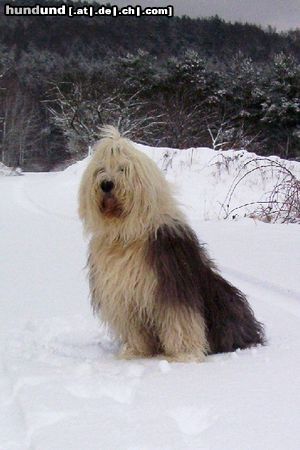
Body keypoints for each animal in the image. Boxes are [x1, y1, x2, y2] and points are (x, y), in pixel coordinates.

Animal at [79, 126, 264, 362]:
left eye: (123, 169)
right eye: (101, 169)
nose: (106, 184)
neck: (127, 234)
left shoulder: (173, 283)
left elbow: (180, 319)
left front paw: (184, 355)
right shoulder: (124, 295)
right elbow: (134, 327)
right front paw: (135, 352)